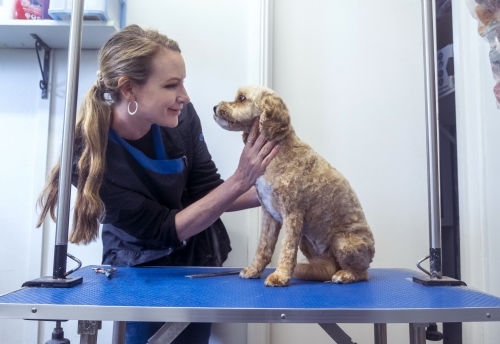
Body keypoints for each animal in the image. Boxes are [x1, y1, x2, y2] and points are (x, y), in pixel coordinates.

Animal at [213, 86, 374, 288]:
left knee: (362, 273)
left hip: (342, 240)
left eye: (242, 98)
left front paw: (280, 276)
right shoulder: (269, 214)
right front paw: (254, 270)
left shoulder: (293, 214)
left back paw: (345, 275)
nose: (215, 107)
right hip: (307, 239)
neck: (278, 152)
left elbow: (287, 249)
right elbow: (263, 247)